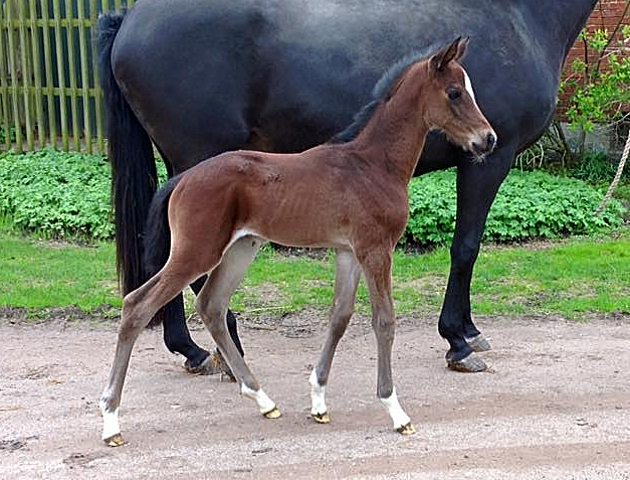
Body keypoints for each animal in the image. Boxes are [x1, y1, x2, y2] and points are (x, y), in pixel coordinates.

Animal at [101, 37, 498, 446]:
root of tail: (181, 180)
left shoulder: (347, 252)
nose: (488, 139)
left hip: (240, 249)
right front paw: (395, 411)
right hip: (197, 252)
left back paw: (262, 399)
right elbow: (385, 320)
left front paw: (319, 401)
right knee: (137, 305)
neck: (372, 164)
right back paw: (111, 420)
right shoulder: (375, 250)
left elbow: (339, 317)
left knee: (211, 305)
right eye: (454, 92)